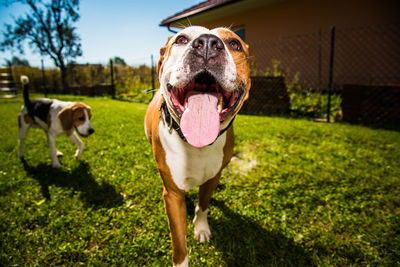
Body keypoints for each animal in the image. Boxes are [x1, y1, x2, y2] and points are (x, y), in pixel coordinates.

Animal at [144, 26, 250, 266]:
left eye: (235, 43)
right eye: (181, 39)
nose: (208, 43)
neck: (196, 147)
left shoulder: (212, 178)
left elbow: (203, 204)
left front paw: (201, 228)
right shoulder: (173, 196)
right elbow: (179, 244)